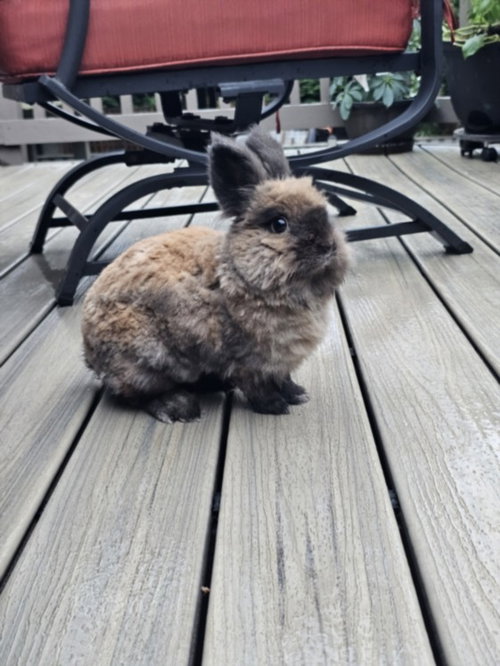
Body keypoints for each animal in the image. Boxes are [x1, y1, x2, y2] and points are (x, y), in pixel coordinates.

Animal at [81, 127, 350, 423]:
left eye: (326, 214)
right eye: (279, 224)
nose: (328, 246)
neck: (239, 275)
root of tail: (90, 353)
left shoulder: (278, 362)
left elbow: (284, 378)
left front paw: (297, 394)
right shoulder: (247, 360)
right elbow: (257, 386)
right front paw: (275, 406)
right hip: (146, 359)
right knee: (134, 394)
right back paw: (179, 408)